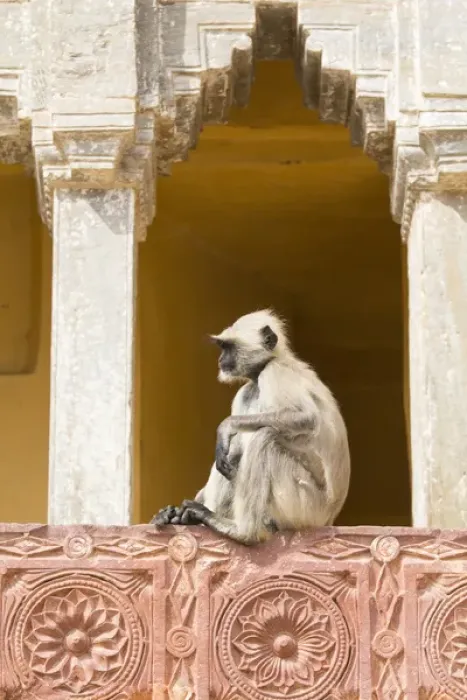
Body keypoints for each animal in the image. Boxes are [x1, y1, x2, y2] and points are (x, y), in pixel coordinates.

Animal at [151, 309, 351, 545]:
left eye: (228, 347)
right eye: (222, 347)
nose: (220, 359)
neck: (272, 362)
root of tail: (329, 517)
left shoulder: (274, 372)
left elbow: (306, 417)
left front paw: (225, 426)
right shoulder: (246, 391)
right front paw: (173, 513)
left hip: (306, 505)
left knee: (264, 437)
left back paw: (244, 532)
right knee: (234, 453)